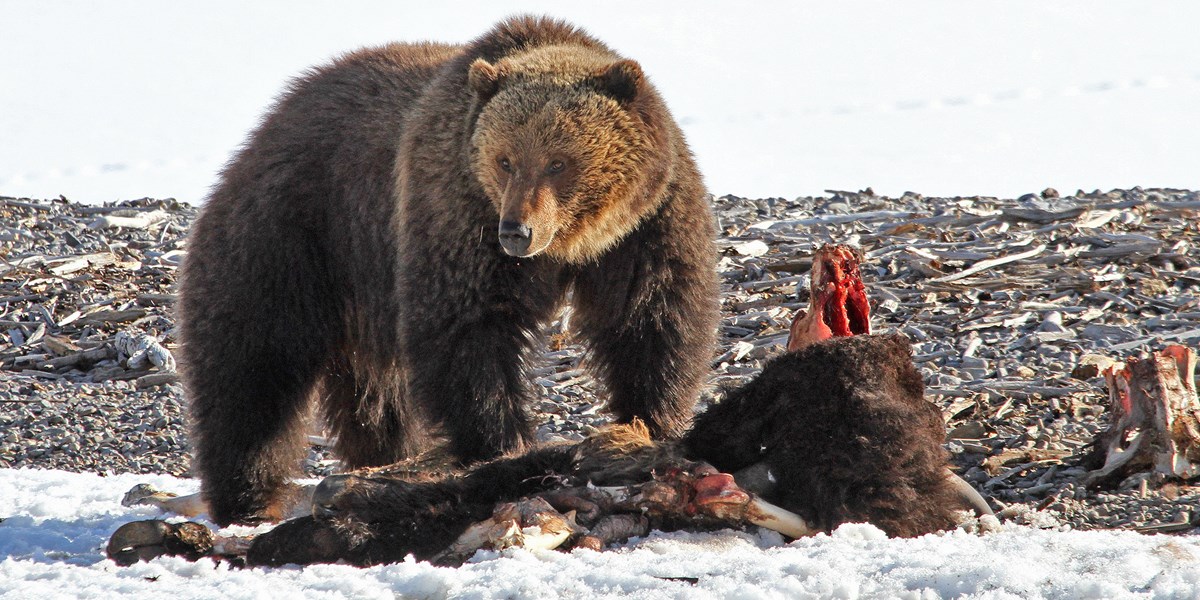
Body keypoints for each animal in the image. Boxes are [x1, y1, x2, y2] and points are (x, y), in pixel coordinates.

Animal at [178, 16, 720, 525]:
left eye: (559, 162)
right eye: (505, 160)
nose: (517, 231)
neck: (574, 244)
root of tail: (274, 117)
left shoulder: (648, 224)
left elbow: (652, 318)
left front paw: (647, 425)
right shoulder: (457, 211)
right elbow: (467, 327)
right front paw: (501, 444)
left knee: (376, 394)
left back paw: (382, 457)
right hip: (296, 230)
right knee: (253, 364)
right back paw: (247, 497)